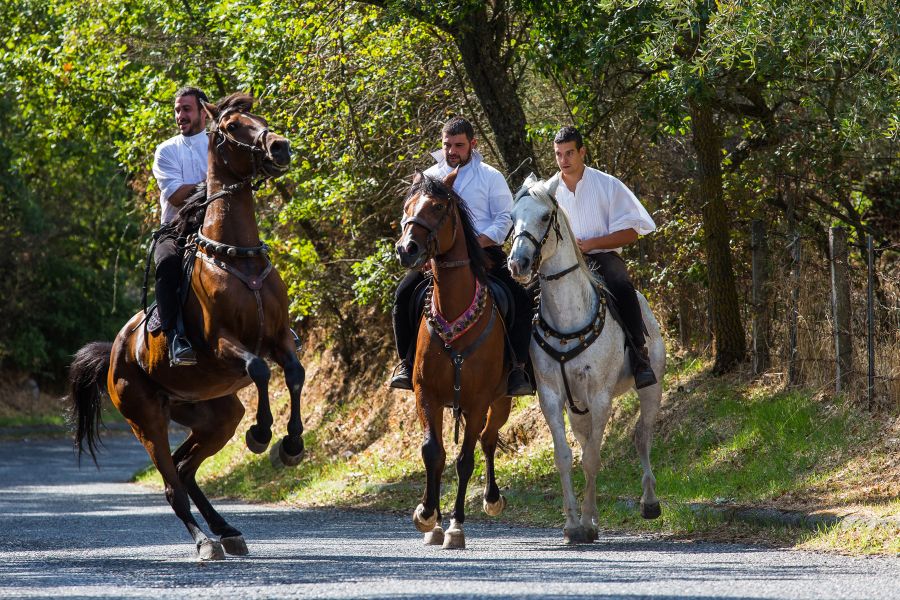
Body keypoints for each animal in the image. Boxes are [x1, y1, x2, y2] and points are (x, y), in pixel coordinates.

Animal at [67, 92, 306, 556]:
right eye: (232, 126)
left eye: (260, 117)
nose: (280, 147)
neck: (239, 258)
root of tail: (114, 353)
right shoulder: (223, 344)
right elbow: (259, 369)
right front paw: (262, 434)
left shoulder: (278, 338)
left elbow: (294, 373)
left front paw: (292, 443)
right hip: (146, 419)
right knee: (172, 483)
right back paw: (204, 542)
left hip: (216, 416)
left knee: (185, 468)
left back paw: (227, 530)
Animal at [396, 171, 512, 552]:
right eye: (407, 207)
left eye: (436, 207)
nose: (407, 249)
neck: (454, 310)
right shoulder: (426, 394)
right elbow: (433, 452)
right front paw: (427, 515)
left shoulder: (477, 401)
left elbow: (465, 459)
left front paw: (456, 526)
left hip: (501, 399)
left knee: (488, 439)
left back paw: (492, 498)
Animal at [510, 175, 664, 544]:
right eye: (512, 218)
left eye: (544, 217)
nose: (518, 263)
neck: (569, 316)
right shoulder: (552, 397)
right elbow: (566, 457)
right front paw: (573, 523)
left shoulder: (600, 396)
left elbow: (593, 458)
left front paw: (589, 523)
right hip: (576, 408)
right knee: (585, 442)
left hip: (651, 388)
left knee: (642, 436)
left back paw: (650, 501)